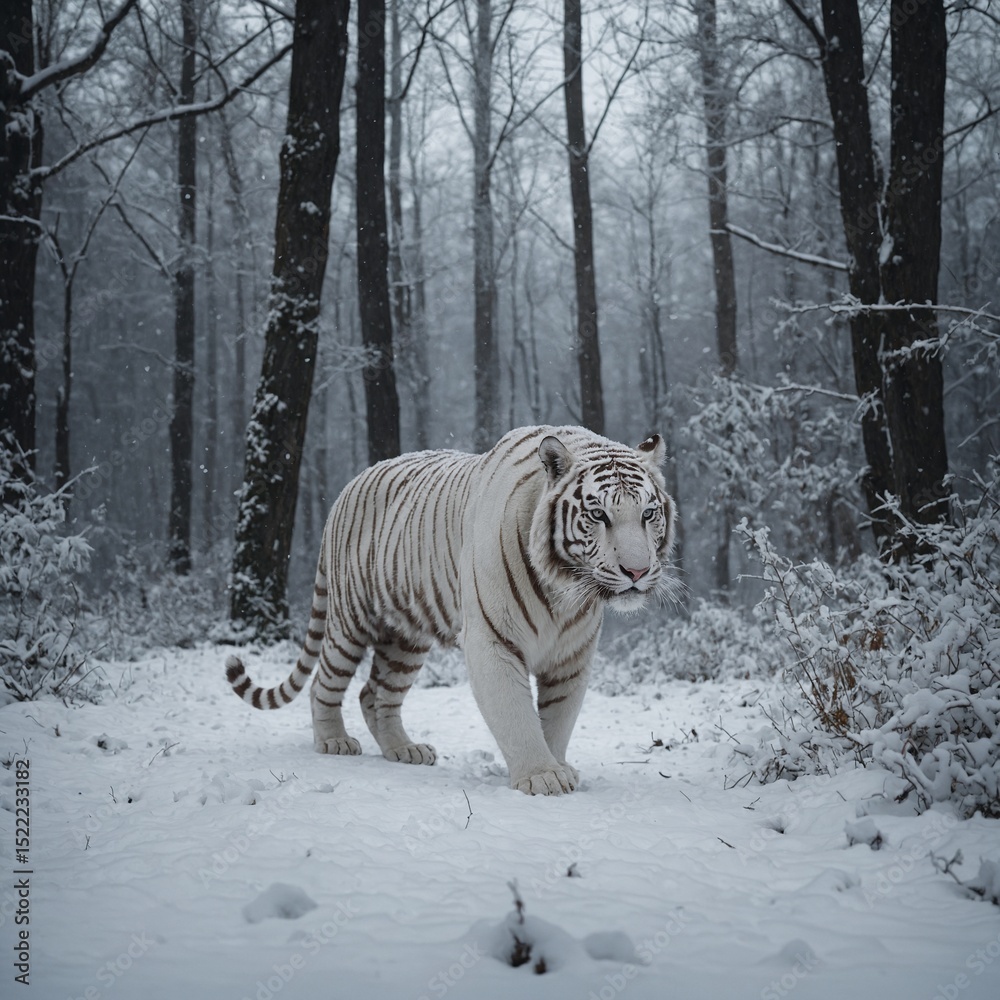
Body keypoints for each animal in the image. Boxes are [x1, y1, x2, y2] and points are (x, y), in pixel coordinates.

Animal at [225, 425, 676, 795]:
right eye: (598, 514)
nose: (636, 571)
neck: (564, 591)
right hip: (350, 621)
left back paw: (403, 750)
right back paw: (333, 741)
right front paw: (541, 776)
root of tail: (345, 488)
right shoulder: (493, 639)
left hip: (405, 639)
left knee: (377, 693)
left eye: (648, 513)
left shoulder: (572, 654)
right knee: (324, 683)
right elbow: (515, 713)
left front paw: (557, 765)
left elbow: (559, 717)